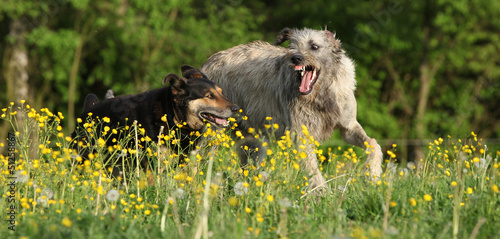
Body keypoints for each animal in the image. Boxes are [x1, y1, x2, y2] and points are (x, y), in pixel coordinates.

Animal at [72, 65, 240, 173]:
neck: (173, 116)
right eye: (209, 96)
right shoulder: (153, 164)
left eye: (221, 92)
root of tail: (87, 110)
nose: (236, 108)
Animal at [199, 27, 382, 192]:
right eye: (292, 46)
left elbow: (374, 143)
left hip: (253, 140)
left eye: (314, 46)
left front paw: (372, 173)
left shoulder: (348, 127)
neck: (321, 93)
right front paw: (323, 195)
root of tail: (207, 63)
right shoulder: (302, 136)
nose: (296, 58)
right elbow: (313, 171)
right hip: (212, 132)